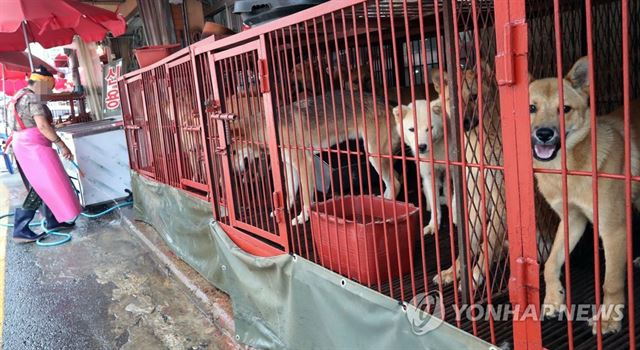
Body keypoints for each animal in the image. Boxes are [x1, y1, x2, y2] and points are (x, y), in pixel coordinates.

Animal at [428, 62, 508, 290]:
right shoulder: (475, 197)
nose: (462, 123)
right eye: (451, 101)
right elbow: (469, 243)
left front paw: (475, 276)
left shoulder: (500, 201)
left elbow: (488, 243)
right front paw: (453, 272)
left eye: (474, 96)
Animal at [528, 56, 640, 334]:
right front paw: (553, 299)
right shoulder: (572, 219)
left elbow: (611, 282)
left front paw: (609, 319)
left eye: (565, 109)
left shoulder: (613, 230)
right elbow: (550, 263)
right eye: (532, 108)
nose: (543, 134)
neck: (567, 170)